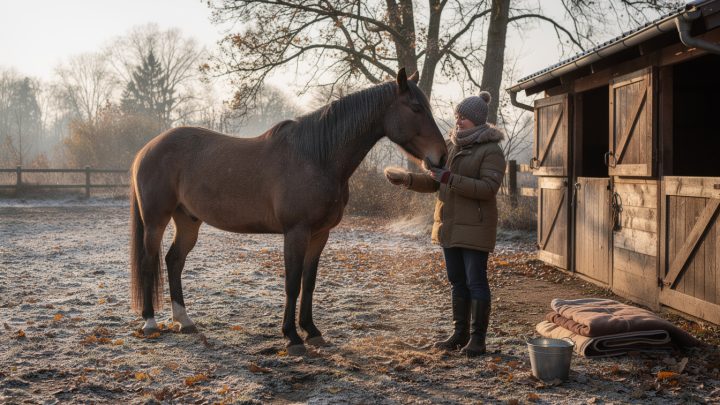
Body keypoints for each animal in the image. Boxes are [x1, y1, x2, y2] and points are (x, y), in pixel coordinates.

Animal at [129, 68, 447, 355]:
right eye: (416, 108)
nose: (442, 157)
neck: (316, 157)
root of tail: (147, 149)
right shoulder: (296, 232)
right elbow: (292, 283)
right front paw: (292, 337)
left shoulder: (320, 234)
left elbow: (309, 282)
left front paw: (312, 331)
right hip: (156, 220)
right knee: (148, 261)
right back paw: (150, 323)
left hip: (188, 220)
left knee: (174, 261)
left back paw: (184, 321)